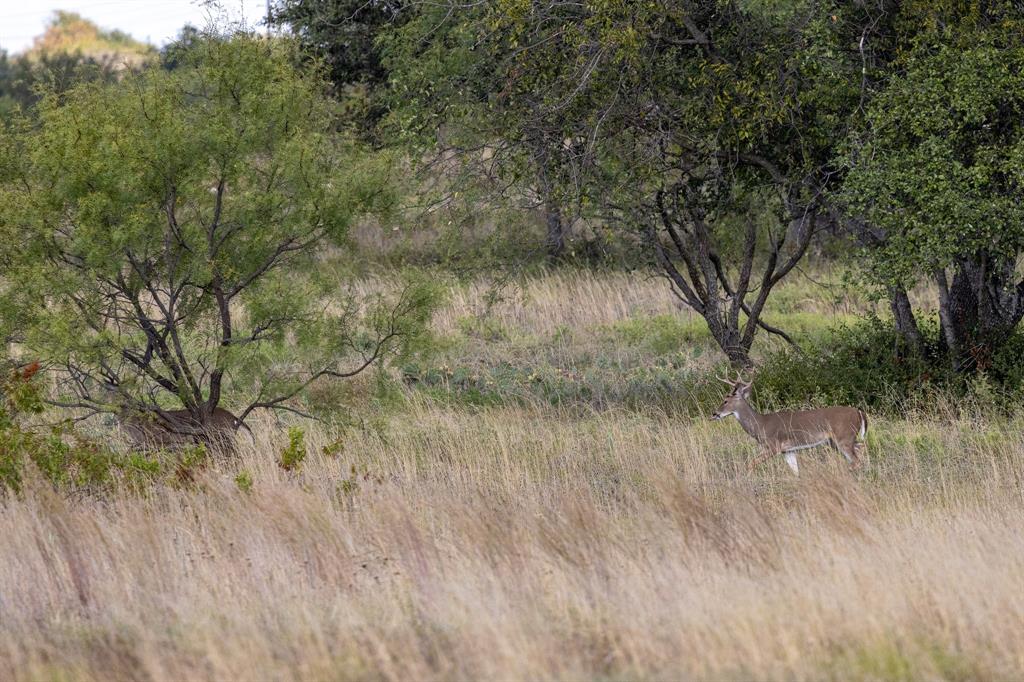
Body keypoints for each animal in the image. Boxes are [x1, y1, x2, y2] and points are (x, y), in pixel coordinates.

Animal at [711, 375, 867, 475]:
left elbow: (751, 463)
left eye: (725, 400)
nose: (714, 413)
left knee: (857, 459)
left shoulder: (773, 446)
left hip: (843, 437)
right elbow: (796, 472)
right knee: (861, 449)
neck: (760, 424)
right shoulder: (788, 450)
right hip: (838, 441)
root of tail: (858, 411)